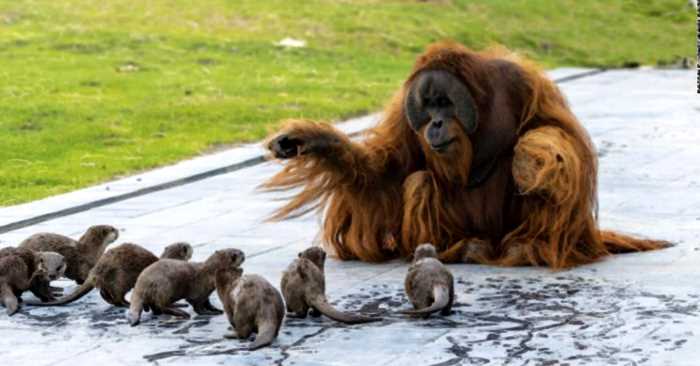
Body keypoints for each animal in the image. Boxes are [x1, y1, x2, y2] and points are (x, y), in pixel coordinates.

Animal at [26, 242, 194, 308]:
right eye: (188, 247)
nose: (190, 246)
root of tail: (96, 270)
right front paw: (179, 304)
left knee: (105, 293)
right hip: (121, 278)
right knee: (117, 296)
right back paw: (126, 304)